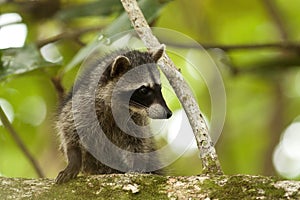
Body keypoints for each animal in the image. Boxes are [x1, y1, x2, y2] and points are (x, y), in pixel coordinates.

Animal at [55, 45, 172, 183]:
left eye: (160, 88)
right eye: (144, 90)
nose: (169, 113)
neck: (120, 106)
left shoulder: (136, 120)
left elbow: (137, 143)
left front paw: (137, 165)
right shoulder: (81, 106)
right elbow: (70, 133)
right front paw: (73, 160)